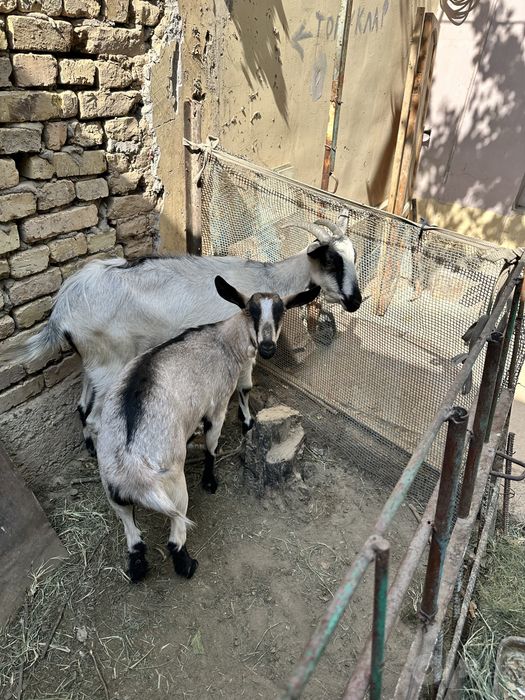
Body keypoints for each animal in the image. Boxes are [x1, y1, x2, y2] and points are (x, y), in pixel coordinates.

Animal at [5, 219, 361, 454]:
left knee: (81, 405)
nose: (355, 301)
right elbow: (244, 386)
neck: (269, 278)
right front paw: (245, 423)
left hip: (95, 360)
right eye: (331, 259)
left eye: (355, 257)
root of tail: (61, 308)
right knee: (93, 417)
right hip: (109, 366)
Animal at [97, 276, 320, 582]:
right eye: (251, 311)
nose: (267, 347)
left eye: (281, 311)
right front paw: (211, 479)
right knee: (175, 536)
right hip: (174, 488)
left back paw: (138, 567)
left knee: (133, 537)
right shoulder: (217, 404)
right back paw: (188, 565)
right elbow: (216, 438)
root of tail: (131, 468)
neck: (223, 340)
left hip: (113, 491)